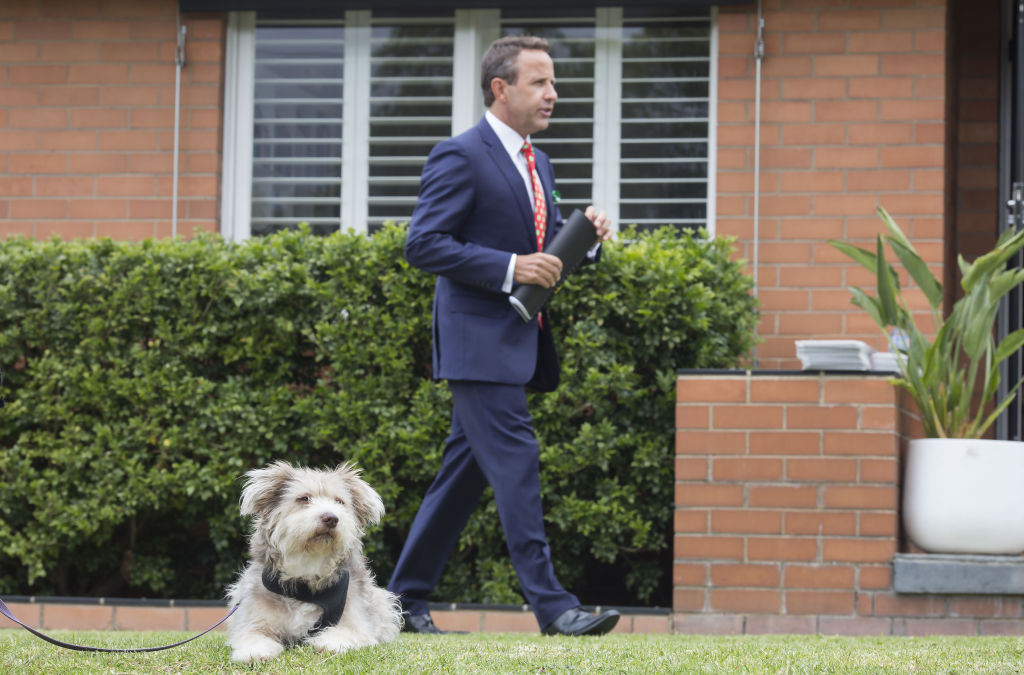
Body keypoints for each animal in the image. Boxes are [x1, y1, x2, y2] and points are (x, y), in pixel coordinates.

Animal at [226, 462, 401, 663]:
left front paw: (330, 644)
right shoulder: (253, 620)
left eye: (339, 502)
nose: (331, 518)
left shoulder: (357, 623)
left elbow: (345, 633)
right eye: (304, 499)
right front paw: (255, 652)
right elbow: (252, 635)